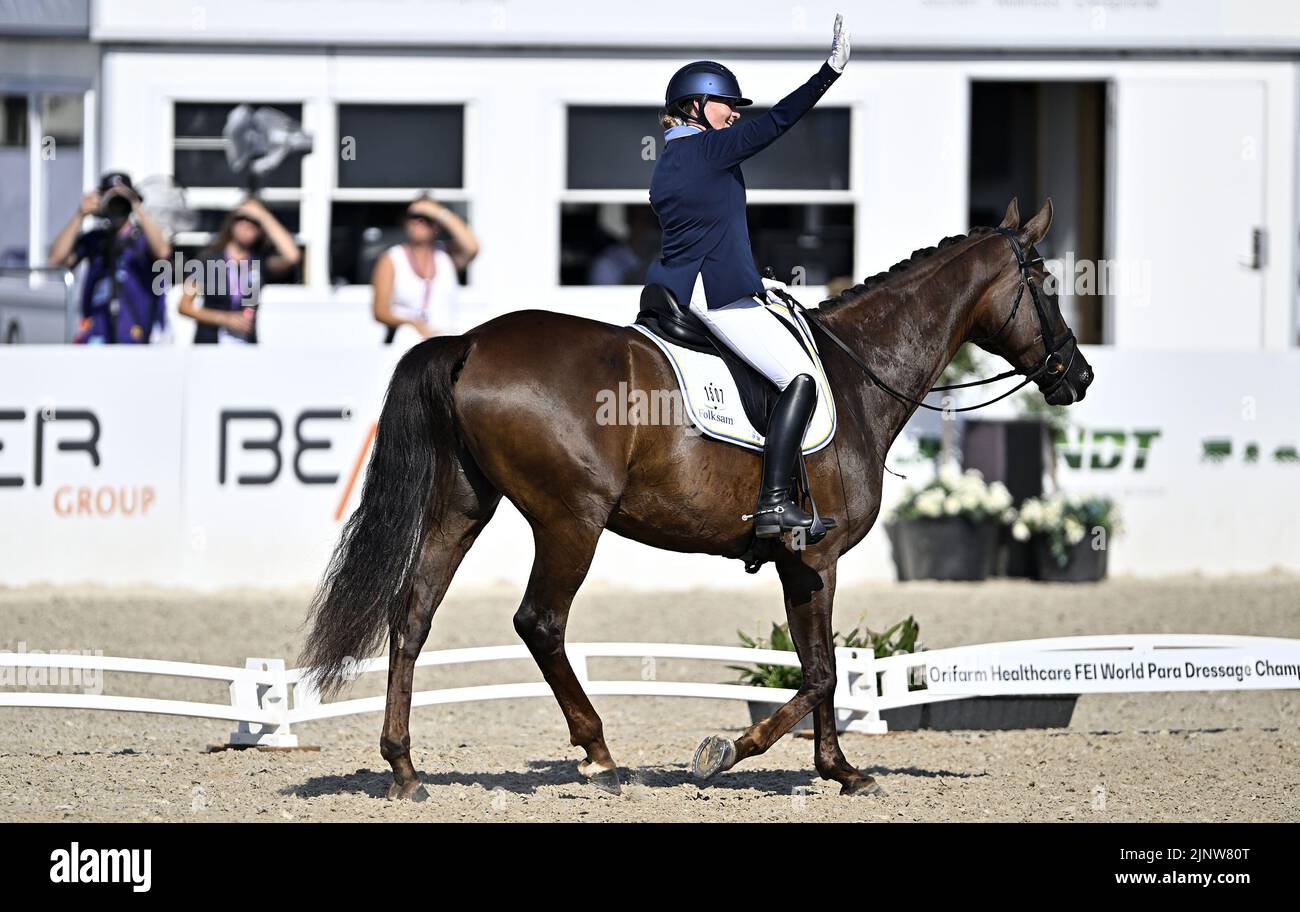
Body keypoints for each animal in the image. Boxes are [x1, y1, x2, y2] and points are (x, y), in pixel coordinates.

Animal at [299, 196, 1092, 795]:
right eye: (1046, 283)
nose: (1077, 375)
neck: (858, 373)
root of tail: (468, 342)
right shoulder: (817, 556)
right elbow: (822, 671)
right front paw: (732, 751)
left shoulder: (800, 561)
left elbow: (823, 668)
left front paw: (839, 770)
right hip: (571, 520)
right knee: (540, 622)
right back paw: (601, 756)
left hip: (464, 507)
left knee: (412, 614)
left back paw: (405, 769)